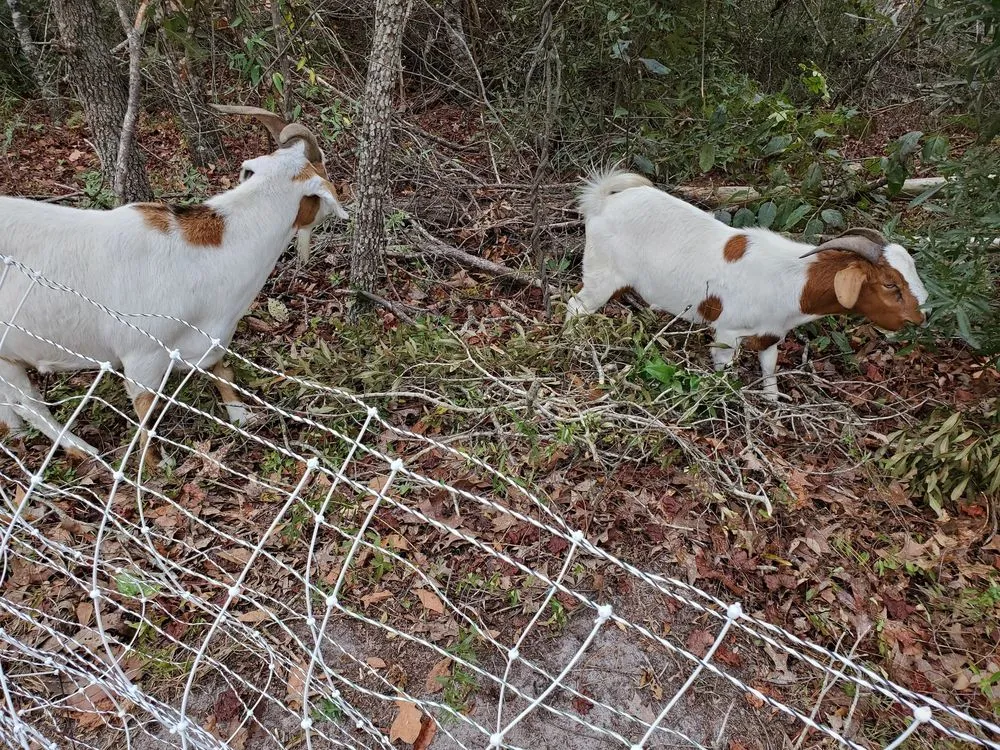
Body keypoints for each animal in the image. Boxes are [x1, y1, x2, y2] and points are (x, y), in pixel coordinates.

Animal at [0, 105, 347, 463]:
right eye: (323, 164)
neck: (198, 256)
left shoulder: (207, 337)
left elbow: (220, 369)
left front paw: (240, 415)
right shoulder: (142, 356)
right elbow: (145, 411)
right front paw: (155, 464)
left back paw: (17, 434)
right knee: (29, 404)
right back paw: (81, 448)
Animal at [566, 169, 929, 399]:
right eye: (890, 284)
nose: (921, 315)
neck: (794, 280)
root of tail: (602, 201)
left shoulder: (771, 335)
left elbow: (769, 372)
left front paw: (773, 411)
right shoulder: (728, 333)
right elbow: (724, 372)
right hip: (599, 276)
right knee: (575, 306)